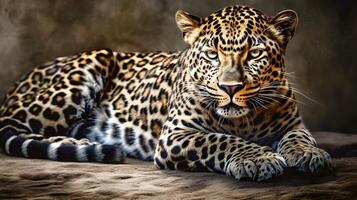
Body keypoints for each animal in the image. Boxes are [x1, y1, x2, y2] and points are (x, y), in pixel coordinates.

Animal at [0, 5, 330, 181]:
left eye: (254, 53)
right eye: (212, 54)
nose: (230, 88)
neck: (244, 121)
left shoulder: (293, 125)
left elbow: (299, 138)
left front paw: (310, 155)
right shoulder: (176, 134)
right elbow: (220, 139)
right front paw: (258, 159)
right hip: (89, 66)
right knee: (14, 129)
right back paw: (75, 142)